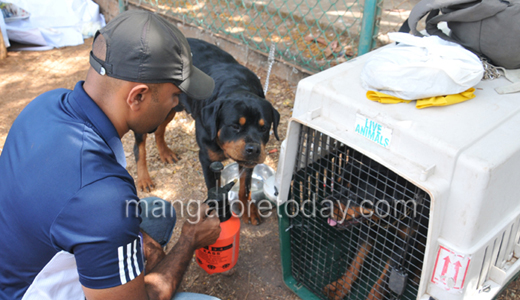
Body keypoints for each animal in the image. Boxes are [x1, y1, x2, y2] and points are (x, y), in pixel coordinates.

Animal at [134, 38, 280, 225]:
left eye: (264, 128)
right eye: (235, 126)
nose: (254, 149)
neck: (236, 86)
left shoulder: (248, 163)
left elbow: (245, 188)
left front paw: (248, 209)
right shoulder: (207, 159)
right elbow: (213, 188)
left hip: (172, 107)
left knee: (160, 129)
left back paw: (166, 153)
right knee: (140, 146)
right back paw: (144, 179)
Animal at [318, 155, 428, 300]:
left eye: (353, 195)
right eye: (337, 185)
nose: (324, 205)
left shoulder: (404, 245)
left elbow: (384, 279)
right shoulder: (368, 230)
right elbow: (355, 261)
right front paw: (340, 287)